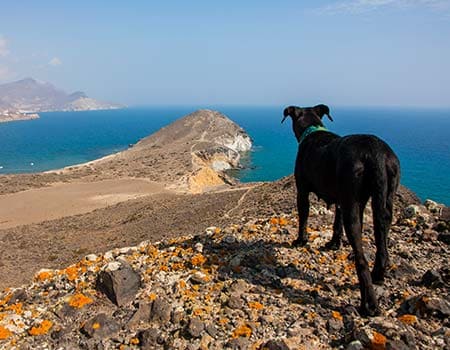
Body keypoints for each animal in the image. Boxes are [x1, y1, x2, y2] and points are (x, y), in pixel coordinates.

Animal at [282, 105, 400, 316]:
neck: (313, 130)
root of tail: (375, 153)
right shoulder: (341, 200)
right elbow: (337, 222)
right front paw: (334, 243)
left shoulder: (302, 190)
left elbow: (303, 216)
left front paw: (301, 240)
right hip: (383, 198)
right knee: (382, 247)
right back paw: (378, 275)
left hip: (352, 206)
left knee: (361, 261)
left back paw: (368, 305)